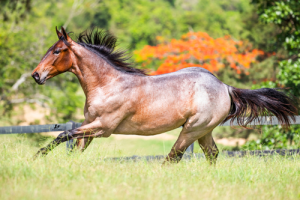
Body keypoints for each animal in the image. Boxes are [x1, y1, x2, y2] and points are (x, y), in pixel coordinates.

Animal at [31, 27, 298, 164]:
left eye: (57, 51)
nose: (36, 75)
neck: (109, 85)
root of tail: (225, 87)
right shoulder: (89, 126)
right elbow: (74, 148)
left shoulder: (103, 127)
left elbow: (63, 134)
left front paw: (36, 157)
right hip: (204, 131)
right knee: (211, 154)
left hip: (191, 129)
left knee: (173, 157)